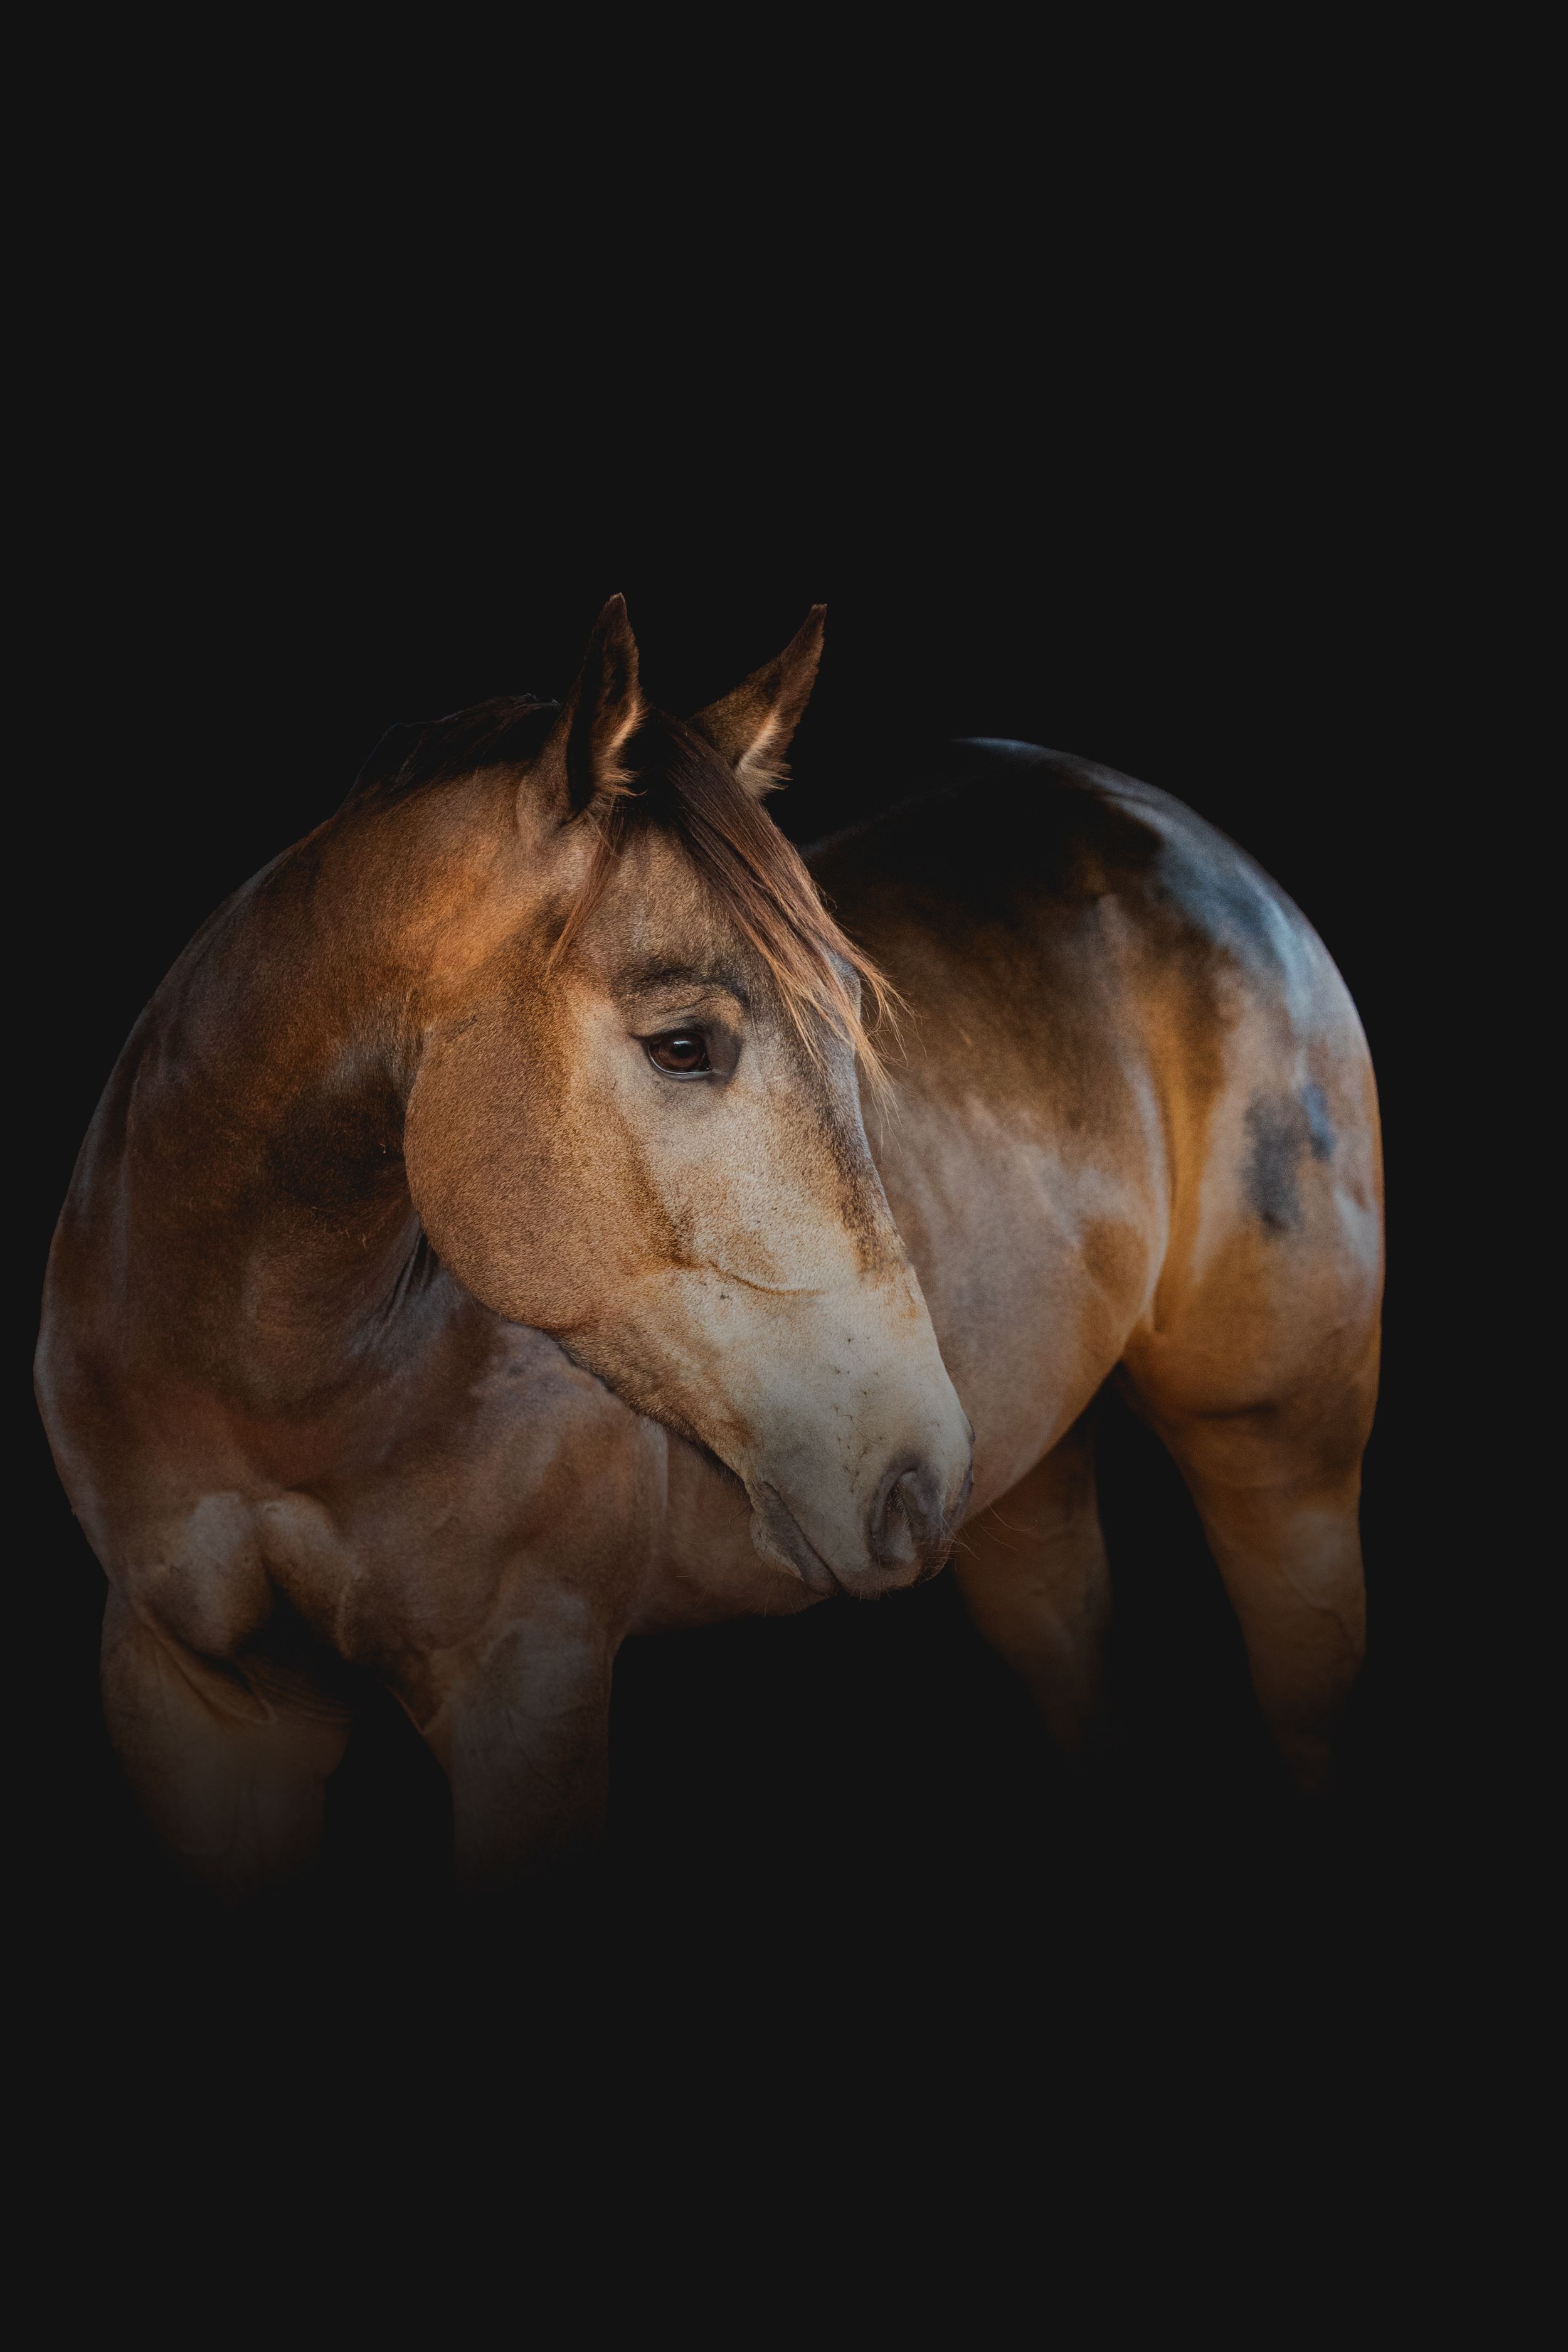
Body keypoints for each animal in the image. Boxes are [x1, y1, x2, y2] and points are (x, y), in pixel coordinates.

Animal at [36, 610, 1382, 1897]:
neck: (266, 1372)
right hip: (1027, 1499)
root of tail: (1170, 831)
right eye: (684, 1045)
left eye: (856, 1016)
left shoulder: (530, 1688)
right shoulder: (192, 1698)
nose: (912, 1475)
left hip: (1280, 1466)